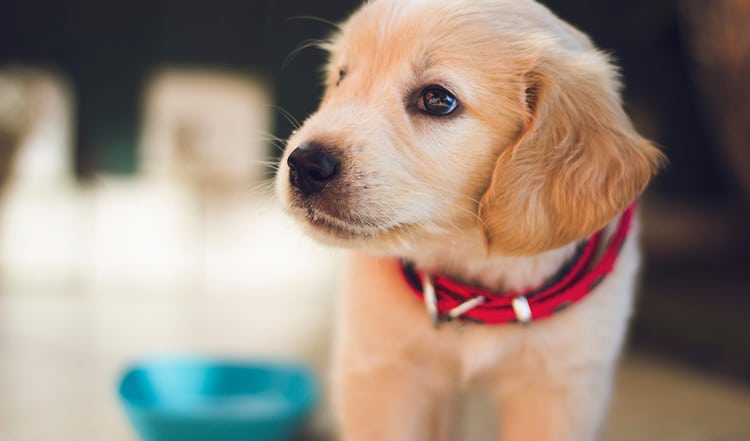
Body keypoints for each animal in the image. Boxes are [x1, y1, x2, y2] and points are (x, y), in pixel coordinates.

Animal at [274, 1, 664, 438]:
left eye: (437, 100)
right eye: (342, 77)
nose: (304, 165)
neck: (474, 278)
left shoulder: (560, 387)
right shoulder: (380, 371)